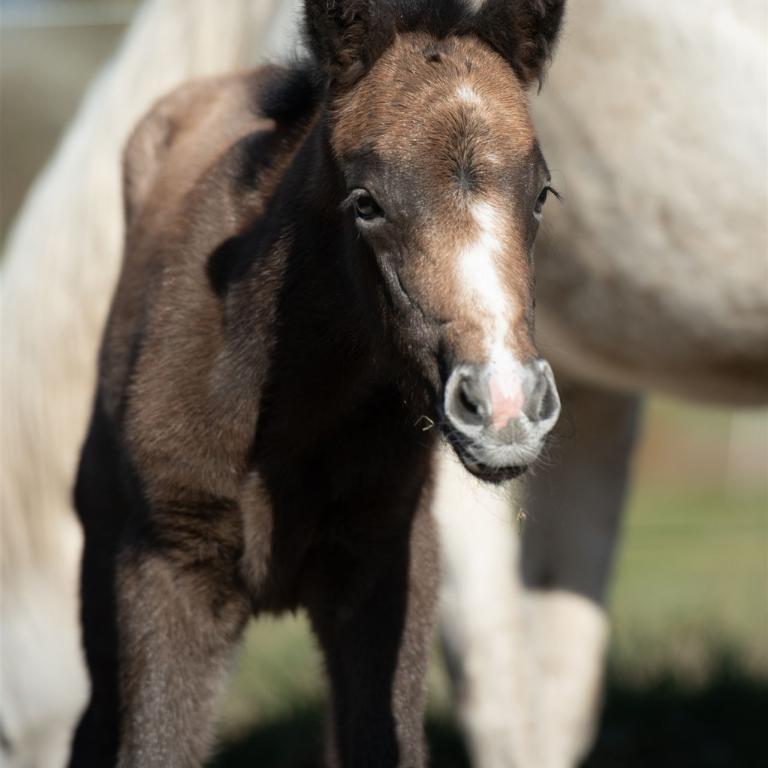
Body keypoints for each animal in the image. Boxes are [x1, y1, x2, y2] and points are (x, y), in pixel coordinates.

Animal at [69, 1, 566, 765]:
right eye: (365, 202)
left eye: (540, 193)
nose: (505, 406)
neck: (286, 420)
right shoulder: (167, 568)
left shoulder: (387, 566)